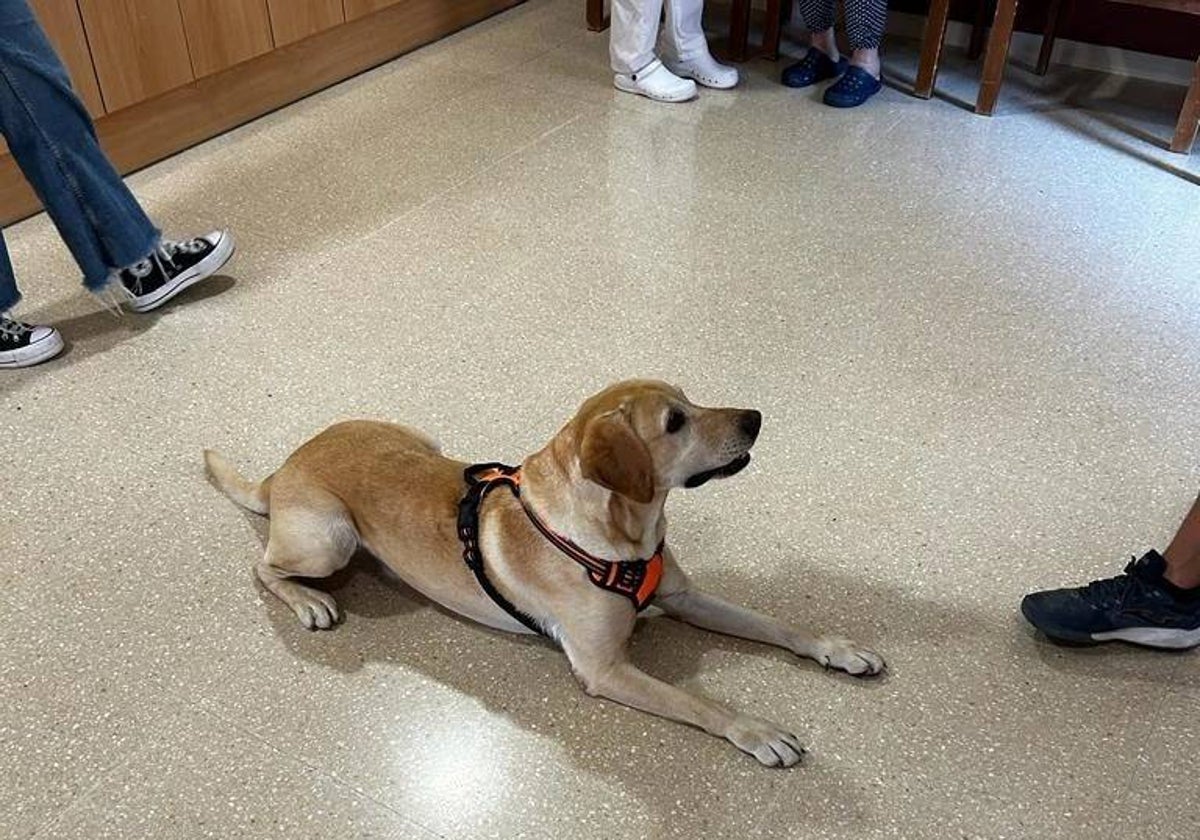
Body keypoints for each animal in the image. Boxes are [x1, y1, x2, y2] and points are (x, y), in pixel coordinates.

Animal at [204, 381, 883, 768]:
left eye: (692, 402)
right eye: (675, 422)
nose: (755, 418)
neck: (618, 532)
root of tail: (285, 465)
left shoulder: (686, 596)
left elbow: (778, 625)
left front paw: (838, 648)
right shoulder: (605, 668)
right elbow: (699, 702)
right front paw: (756, 730)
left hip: (421, 438)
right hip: (328, 540)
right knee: (261, 566)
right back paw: (306, 602)